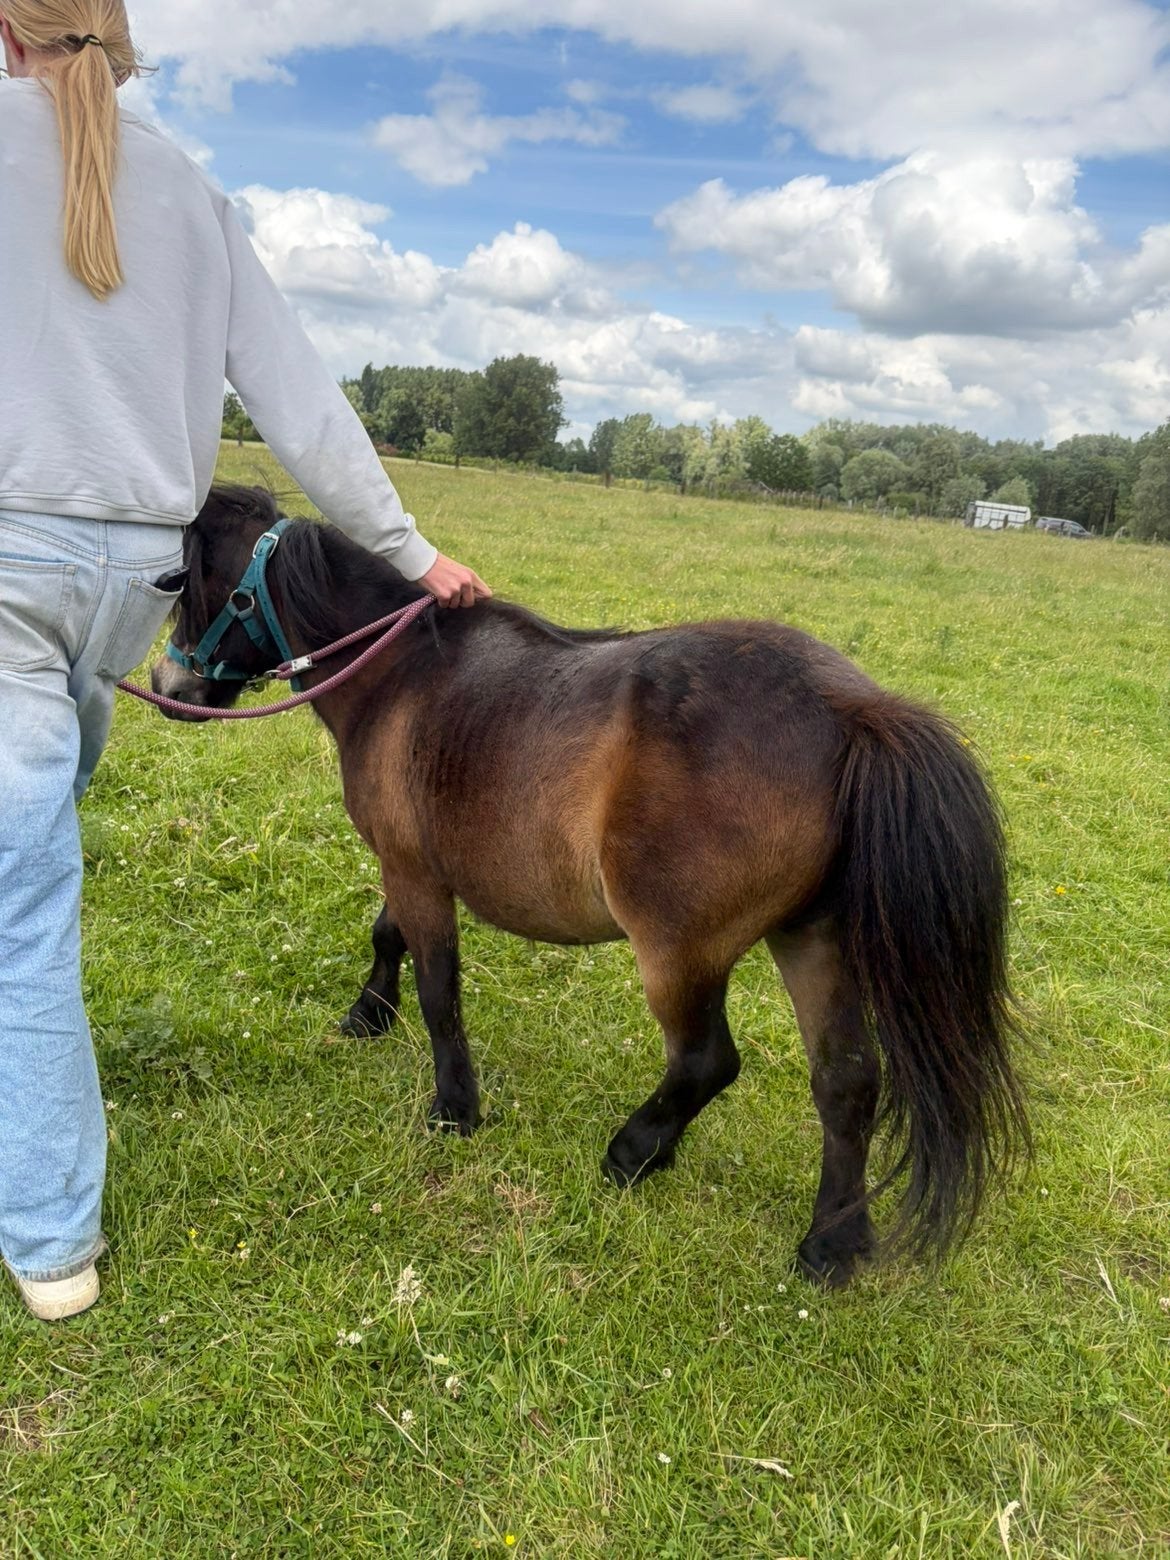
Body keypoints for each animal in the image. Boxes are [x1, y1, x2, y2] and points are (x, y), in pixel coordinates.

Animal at [151, 484, 1027, 1287]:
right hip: (813, 938)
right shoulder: (415, 867)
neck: (402, 675)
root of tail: (850, 708)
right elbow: (386, 934)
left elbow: (439, 989)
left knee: (706, 1061)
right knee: (847, 1080)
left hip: (680, 952)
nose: (171, 686)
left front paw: (455, 1105)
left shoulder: (413, 868)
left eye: (188, 583)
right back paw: (832, 1242)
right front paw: (369, 1013)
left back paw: (636, 1150)